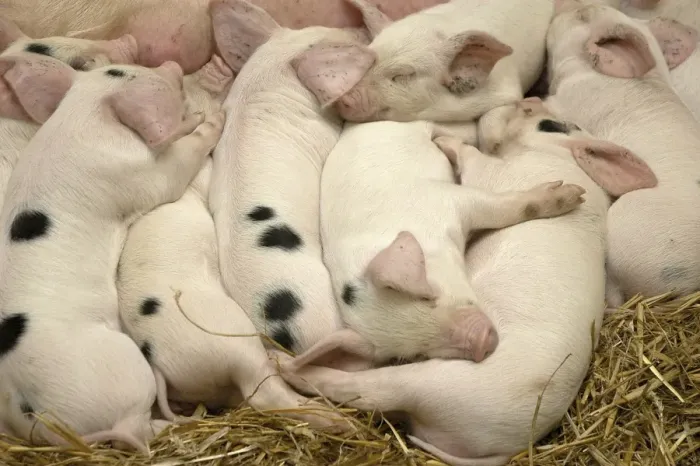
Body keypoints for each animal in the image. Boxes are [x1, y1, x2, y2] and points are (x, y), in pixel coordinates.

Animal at [0, 55, 224, 452]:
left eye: (113, 69)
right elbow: (179, 163)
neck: (79, 116)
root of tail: (32, 412)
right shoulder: (143, 173)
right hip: (125, 369)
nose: (171, 63)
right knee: (136, 425)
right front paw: (210, 119)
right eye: (123, 74)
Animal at [117, 56, 348, 431]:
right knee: (267, 392)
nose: (216, 62)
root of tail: (161, 366)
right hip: (233, 338)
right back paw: (340, 421)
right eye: (184, 92)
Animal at [280, 117, 590, 373]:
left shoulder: (449, 200)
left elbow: (505, 208)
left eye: (427, 297)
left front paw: (573, 195)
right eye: (414, 355)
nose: (481, 344)